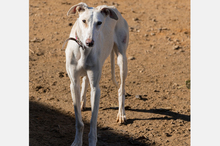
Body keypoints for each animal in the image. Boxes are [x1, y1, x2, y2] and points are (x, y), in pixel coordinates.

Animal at [64, 2, 129, 146]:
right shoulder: (73, 84)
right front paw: (77, 141)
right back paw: (82, 101)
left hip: (122, 59)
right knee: (85, 80)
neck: (83, 51)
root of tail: (111, 7)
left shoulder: (96, 89)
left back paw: (121, 114)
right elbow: (79, 122)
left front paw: (92, 141)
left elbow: (93, 123)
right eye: (83, 21)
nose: (90, 43)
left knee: (121, 88)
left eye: (99, 23)